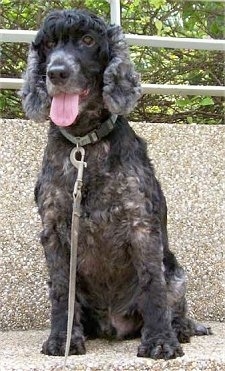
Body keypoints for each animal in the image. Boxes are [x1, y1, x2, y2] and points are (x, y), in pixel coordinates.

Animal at [19, 9, 211, 360]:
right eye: (49, 44)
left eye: (87, 40)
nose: (56, 72)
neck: (84, 144)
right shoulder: (53, 229)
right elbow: (61, 290)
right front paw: (62, 339)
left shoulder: (141, 223)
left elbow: (153, 285)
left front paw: (160, 341)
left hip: (177, 272)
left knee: (174, 302)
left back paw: (181, 328)